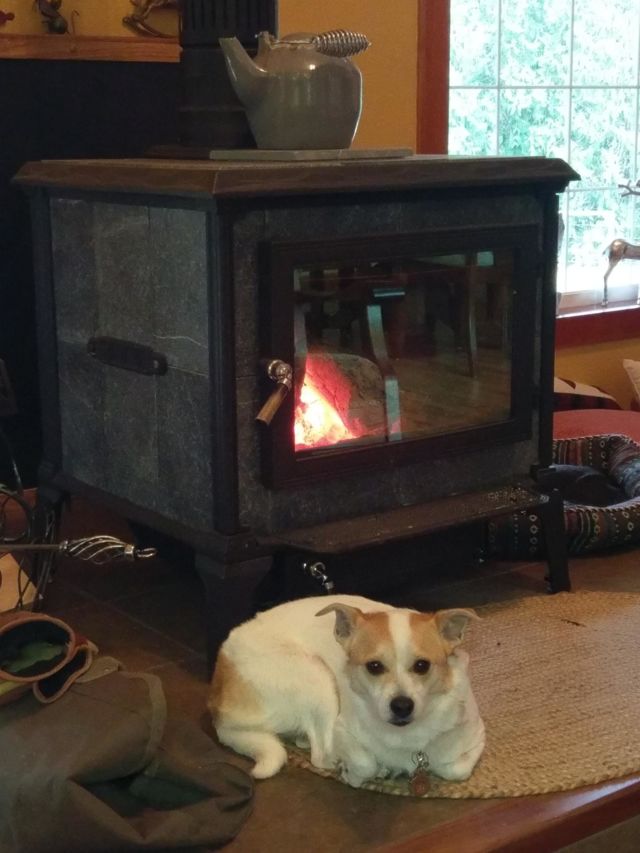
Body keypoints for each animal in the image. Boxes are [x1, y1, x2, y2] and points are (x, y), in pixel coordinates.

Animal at [208, 594, 485, 788]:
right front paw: (354, 772)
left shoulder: (477, 737)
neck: (405, 738)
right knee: (321, 753)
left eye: (422, 665)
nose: (402, 705)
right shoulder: (341, 728)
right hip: (316, 677)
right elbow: (363, 762)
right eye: (374, 666)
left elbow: (456, 769)